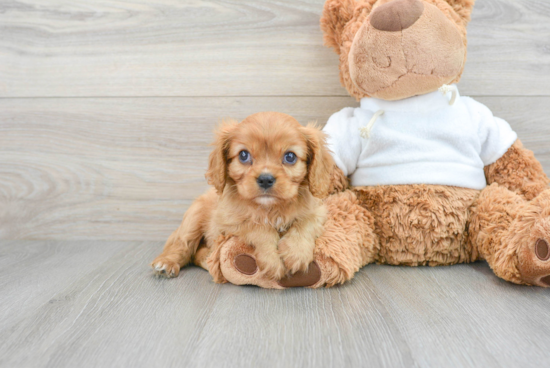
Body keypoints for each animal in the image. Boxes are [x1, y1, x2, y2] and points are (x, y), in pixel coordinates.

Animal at [151, 110, 334, 280]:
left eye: (290, 156)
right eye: (243, 155)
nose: (265, 179)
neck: (269, 209)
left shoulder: (317, 212)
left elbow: (305, 223)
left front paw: (296, 253)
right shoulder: (228, 222)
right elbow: (259, 227)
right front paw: (272, 259)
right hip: (193, 218)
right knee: (182, 245)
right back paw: (166, 263)